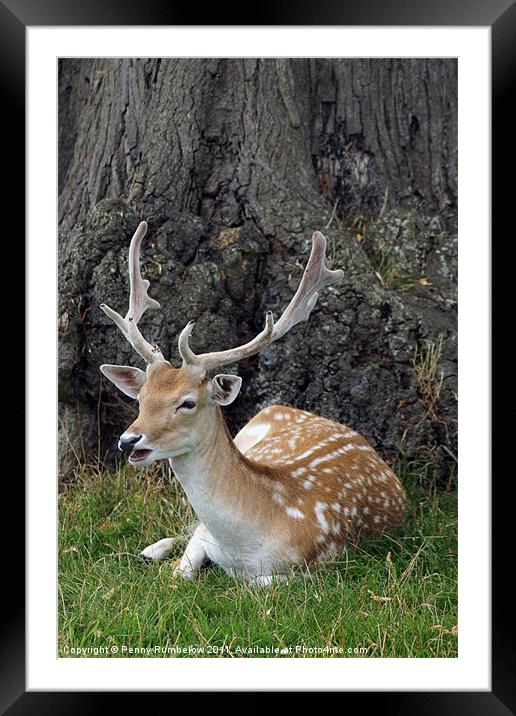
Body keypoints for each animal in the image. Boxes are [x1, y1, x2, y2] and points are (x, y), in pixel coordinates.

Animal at [100, 221, 408, 584]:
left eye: (187, 403)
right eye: (142, 398)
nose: (128, 439)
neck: (242, 545)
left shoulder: (309, 569)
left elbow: (257, 584)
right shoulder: (204, 539)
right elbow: (181, 571)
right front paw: (165, 558)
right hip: (253, 426)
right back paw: (152, 549)